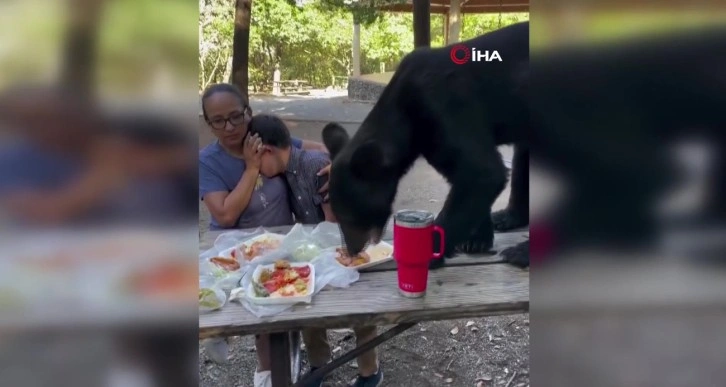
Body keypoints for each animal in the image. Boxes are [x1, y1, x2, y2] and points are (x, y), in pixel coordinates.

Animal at [322, 22, 528, 270]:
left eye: (351, 217)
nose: (352, 250)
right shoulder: (433, 141)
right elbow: (465, 175)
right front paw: (476, 238)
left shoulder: (445, 106)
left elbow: (482, 172)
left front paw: (430, 252)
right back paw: (509, 217)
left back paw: (521, 252)